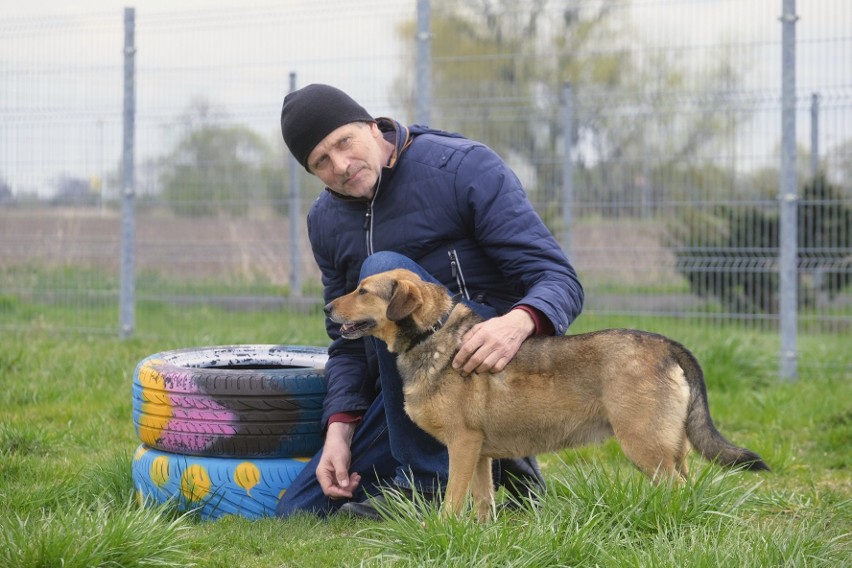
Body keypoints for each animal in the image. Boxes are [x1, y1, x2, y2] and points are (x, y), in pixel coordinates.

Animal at [322, 268, 768, 520]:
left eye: (363, 291)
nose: (326, 308)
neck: (432, 334)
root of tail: (665, 344)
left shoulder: (461, 446)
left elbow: (452, 500)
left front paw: (445, 529)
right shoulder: (479, 453)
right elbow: (482, 503)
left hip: (645, 445)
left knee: (676, 489)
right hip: (672, 446)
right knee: (688, 483)